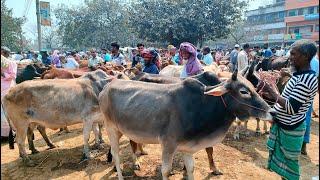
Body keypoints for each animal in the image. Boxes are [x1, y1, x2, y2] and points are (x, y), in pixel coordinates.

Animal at [99, 69, 274, 179]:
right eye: (244, 91)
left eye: (254, 87)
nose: (271, 111)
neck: (202, 105)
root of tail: (107, 87)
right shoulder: (168, 144)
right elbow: (165, 171)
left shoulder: (188, 148)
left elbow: (191, 169)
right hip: (111, 129)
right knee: (116, 155)